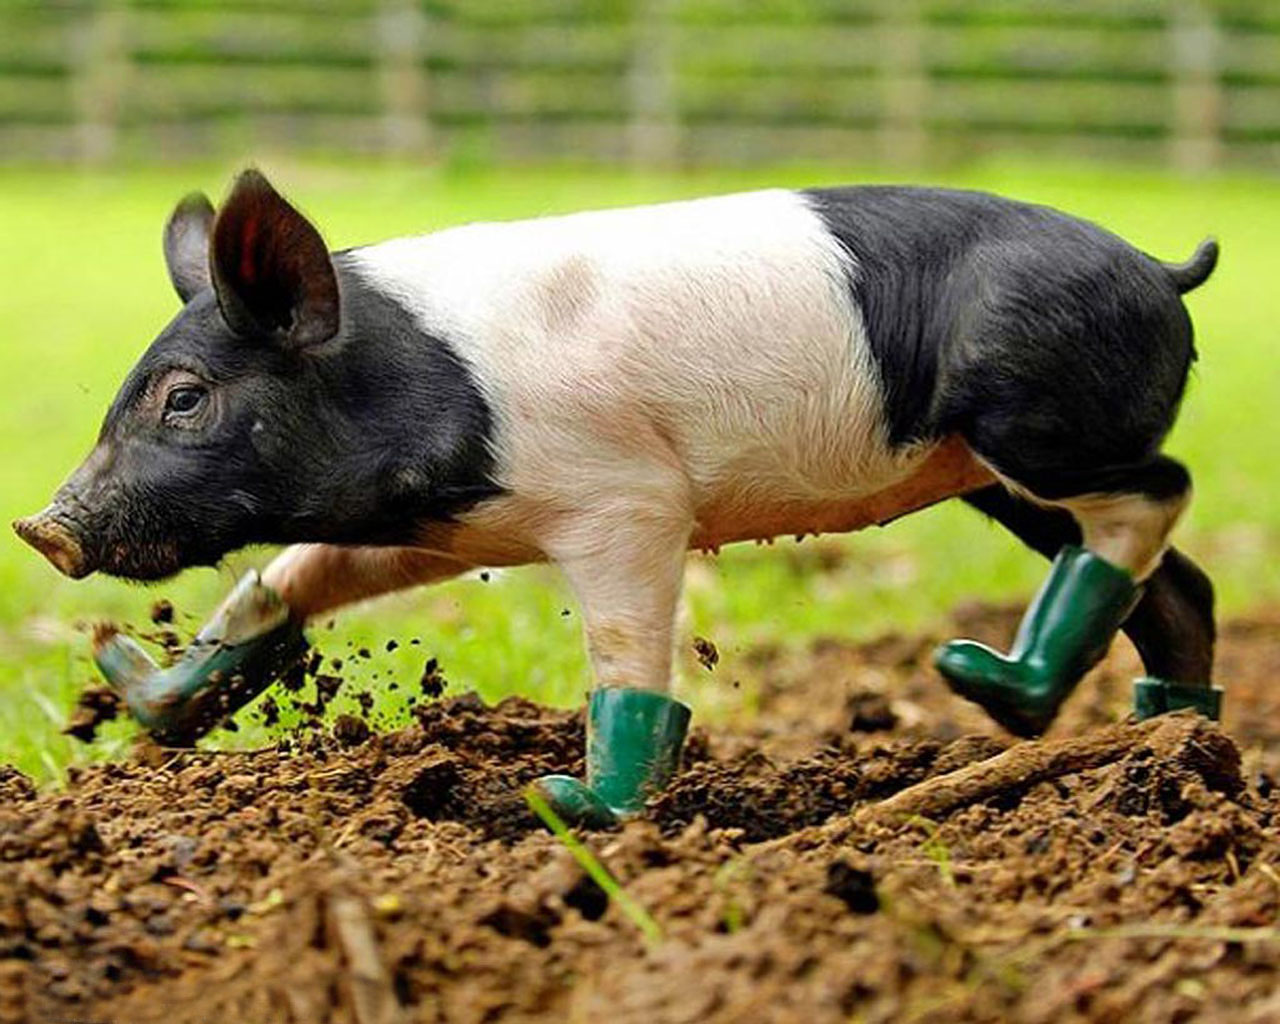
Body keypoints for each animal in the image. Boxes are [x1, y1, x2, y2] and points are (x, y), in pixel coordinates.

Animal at [15, 169, 1221, 826]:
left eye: (184, 397)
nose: (43, 528)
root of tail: (1161, 268)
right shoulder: (438, 524)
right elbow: (290, 579)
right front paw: (130, 680)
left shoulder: (625, 504)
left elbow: (628, 665)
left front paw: (568, 807)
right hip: (993, 471)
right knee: (1179, 582)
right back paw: (1144, 735)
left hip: (1037, 422)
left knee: (1160, 493)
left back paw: (988, 685)